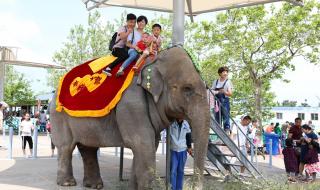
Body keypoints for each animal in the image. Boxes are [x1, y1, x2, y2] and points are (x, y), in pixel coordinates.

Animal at [50, 46, 210, 189]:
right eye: (187, 89)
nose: (191, 185)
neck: (153, 61)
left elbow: (150, 144)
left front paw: (133, 187)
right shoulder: (130, 104)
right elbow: (143, 143)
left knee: (88, 148)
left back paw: (95, 185)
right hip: (58, 116)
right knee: (66, 147)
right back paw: (67, 183)